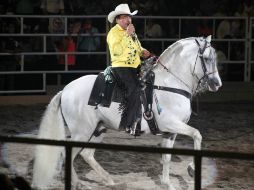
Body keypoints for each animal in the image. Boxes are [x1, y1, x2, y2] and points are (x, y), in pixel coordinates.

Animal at [32, 36, 222, 190]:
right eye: (206, 58)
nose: (217, 84)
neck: (169, 84)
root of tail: (65, 90)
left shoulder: (171, 131)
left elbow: (167, 157)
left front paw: (168, 184)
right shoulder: (171, 124)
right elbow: (197, 134)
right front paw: (192, 169)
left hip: (98, 129)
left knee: (87, 155)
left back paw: (108, 180)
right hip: (82, 132)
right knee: (68, 154)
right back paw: (79, 183)